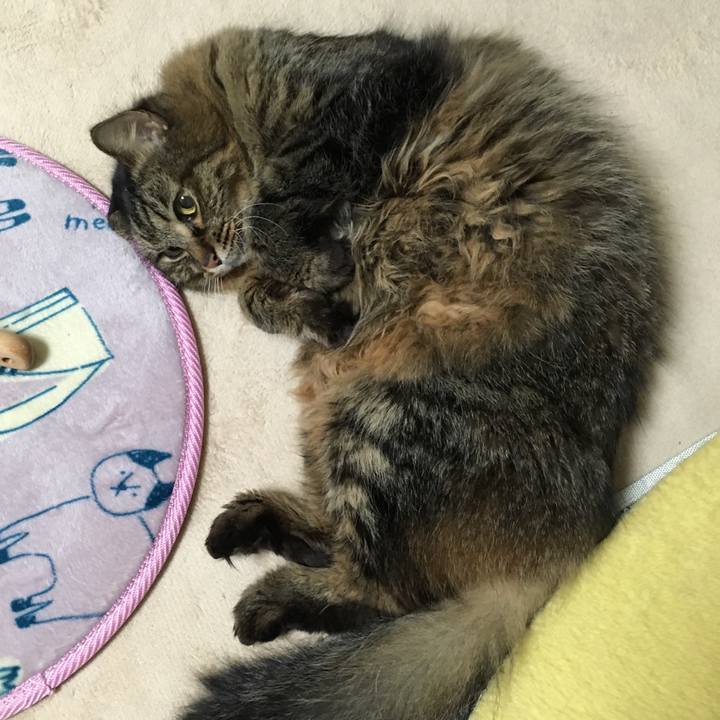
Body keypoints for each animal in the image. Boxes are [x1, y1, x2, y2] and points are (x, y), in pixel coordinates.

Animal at [91, 28, 662, 720]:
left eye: (187, 204)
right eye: (173, 254)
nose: (206, 258)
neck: (244, 105)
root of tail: (571, 545)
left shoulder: (358, 97)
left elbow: (283, 212)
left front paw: (315, 266)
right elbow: (264, 296)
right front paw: (312, 295)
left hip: (387, 416)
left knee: (382, 592)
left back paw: (268, 595)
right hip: (346, 419)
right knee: (355, 562)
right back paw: (253, 533)